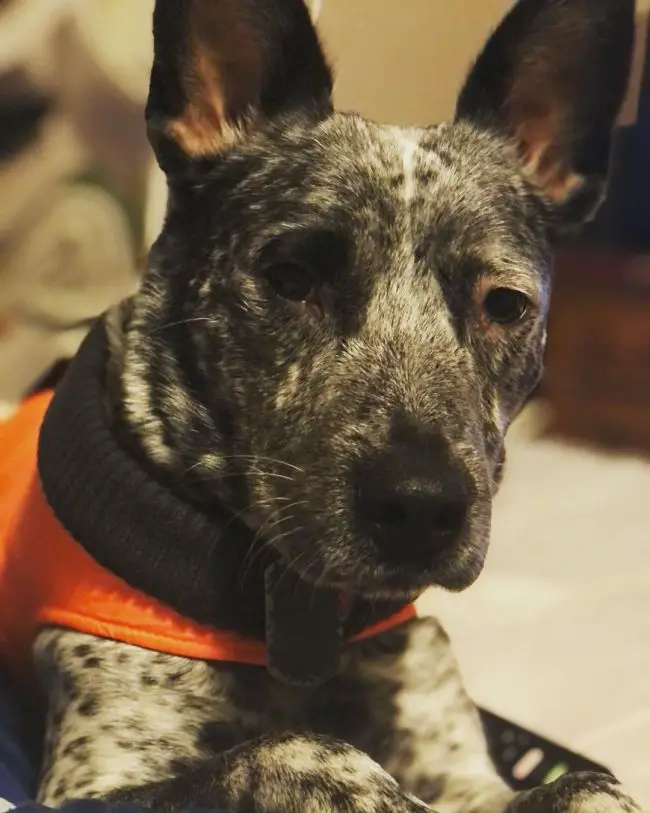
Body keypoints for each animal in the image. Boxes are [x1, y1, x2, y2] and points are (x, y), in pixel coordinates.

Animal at [7, 1, 640, 812]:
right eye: (291, 276)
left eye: (504, 304)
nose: (420, 508)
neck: (300, 614)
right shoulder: (90, 780)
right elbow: (292, 748)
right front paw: (361, 786)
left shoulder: (457, 757)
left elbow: (580, 785)